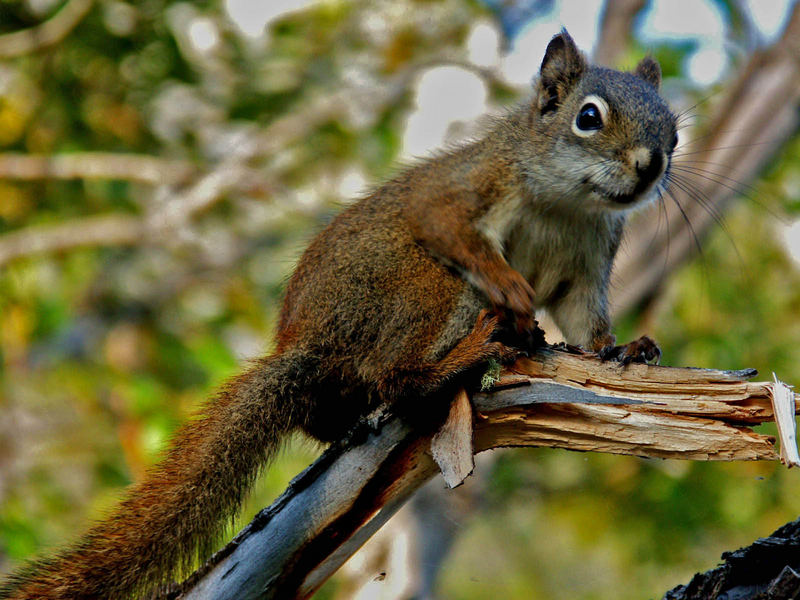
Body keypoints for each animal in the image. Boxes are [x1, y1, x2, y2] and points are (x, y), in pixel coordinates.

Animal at [0, 30, 676, 596]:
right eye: (588, 117)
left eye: (673, 129)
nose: (652, 165)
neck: (569, 203)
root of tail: (310, 347)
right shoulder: (468, 189)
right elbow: (446, 223)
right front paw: (513, 290)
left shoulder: (586, 267)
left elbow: (586, 323)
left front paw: (620, 348)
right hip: (423, 286)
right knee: (394, 378)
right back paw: (466, 355)